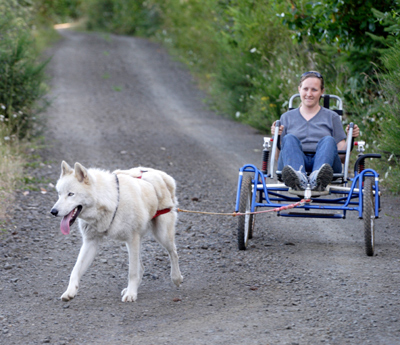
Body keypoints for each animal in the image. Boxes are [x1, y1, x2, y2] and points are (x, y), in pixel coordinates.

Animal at [48, 161, 184, 300]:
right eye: (59, 194)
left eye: (71, 194)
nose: (53, 211)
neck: (109, 202)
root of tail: (162, 175)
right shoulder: (90, 242)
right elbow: (75, 270)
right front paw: (70, 291)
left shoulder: (132, 239)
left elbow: (132, 272)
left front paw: (131, 294)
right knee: (141, 266)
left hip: (161, 235)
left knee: (173, 253)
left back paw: (176, 278)